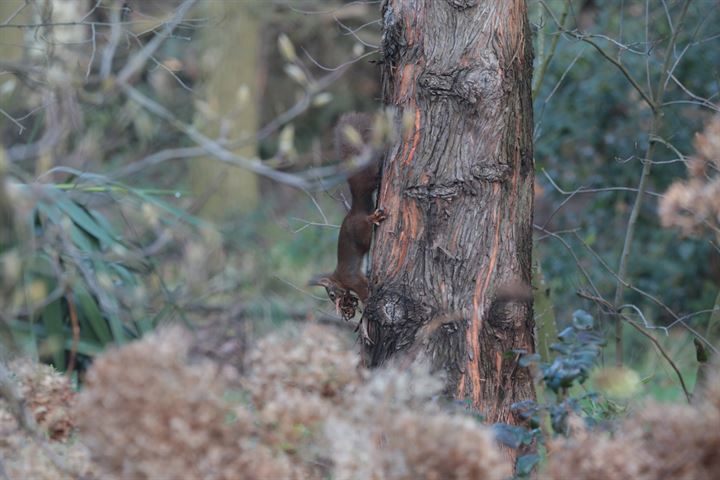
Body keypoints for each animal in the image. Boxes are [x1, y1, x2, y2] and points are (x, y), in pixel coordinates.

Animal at [310, 112, 388, 318]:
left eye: (331, 294)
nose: (337, 304)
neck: (339, 278)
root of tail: (355, 211)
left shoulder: (351, 278)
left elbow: (361, 288)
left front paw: (367, 300)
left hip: (360, 231)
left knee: (366, 226)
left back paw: (373, 218)